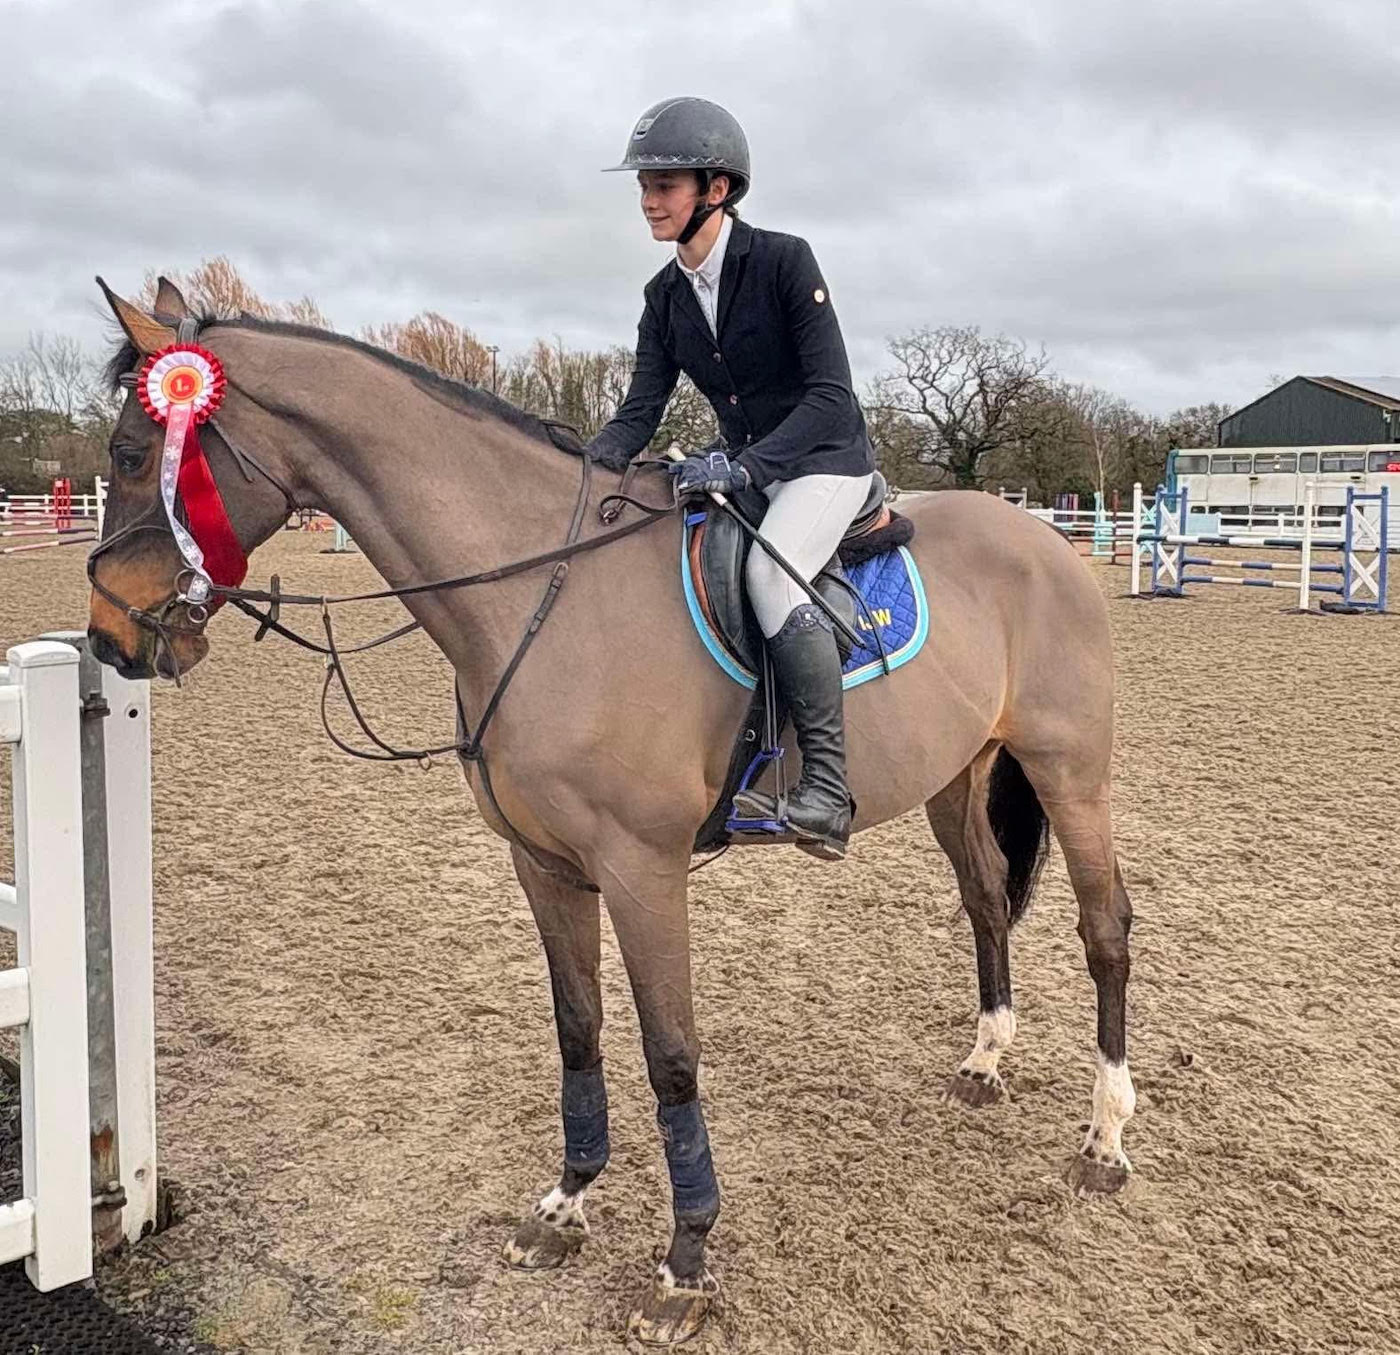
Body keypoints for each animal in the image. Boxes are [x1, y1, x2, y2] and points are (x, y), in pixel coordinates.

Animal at [87, 279, 1134, 1346]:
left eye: (131, 454)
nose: (110, 637)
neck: (537, 592)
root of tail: (1042, 538)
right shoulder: (545, 864)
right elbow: (579, 1028)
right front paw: (566, 1203)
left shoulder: (643, 868)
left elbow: (670, 1056)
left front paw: (685, 1262)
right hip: (955, 779)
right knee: (987, 902)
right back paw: (986, 1061)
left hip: (1070, 773)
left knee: (1105, 928)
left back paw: (1104, 1137)